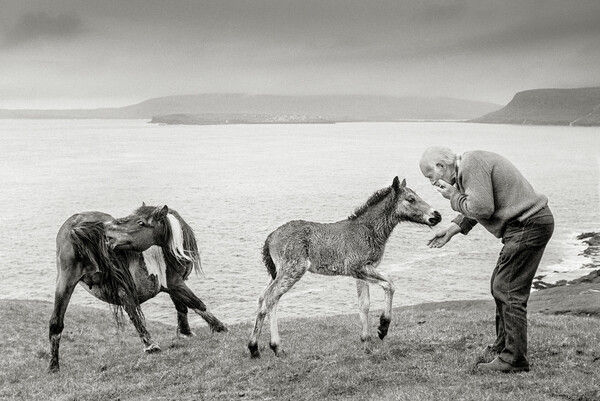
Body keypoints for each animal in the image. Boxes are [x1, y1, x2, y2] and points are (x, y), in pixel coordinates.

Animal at [48, 205, 227, 374]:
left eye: (140, 222)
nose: (109, 237)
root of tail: (76, 225)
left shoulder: (172, 286)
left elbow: (181, 306)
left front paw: (186, 332)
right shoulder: (174, 283)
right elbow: (196, 303)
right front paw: (220, 328)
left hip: (66, 282)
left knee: (56, 322)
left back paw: (53, 367)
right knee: (133, 312)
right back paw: (151, 346)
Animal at [247, 177, 440, 358]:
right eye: (411, 199)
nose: (437, 215)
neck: (369, 230)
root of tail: (270, 238)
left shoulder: (362, 273)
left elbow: (364, 304)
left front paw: (366, 342)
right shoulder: (358, 268)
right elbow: (389, 284)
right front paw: (383, 327)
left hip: (277, 273)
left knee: (262, 297)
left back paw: (254, 348)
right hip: (292, 270)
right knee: (272, 298)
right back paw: (277, 347)